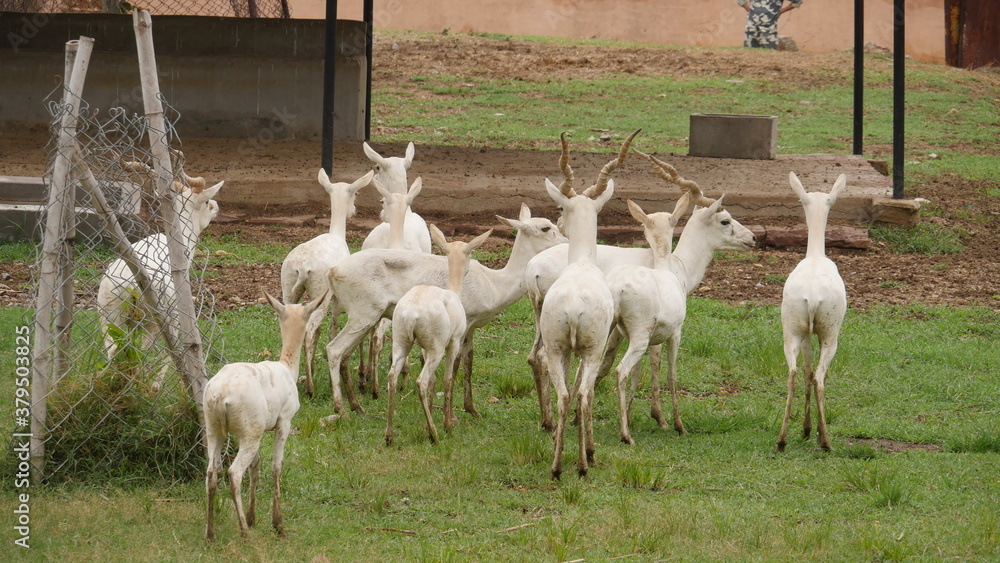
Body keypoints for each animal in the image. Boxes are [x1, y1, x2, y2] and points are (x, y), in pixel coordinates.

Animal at [203, 291, 327, 541]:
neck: (287, 368)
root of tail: (221, 394)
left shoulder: (260, 429)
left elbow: (256, 467)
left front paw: (253, 518)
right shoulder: (284, 422)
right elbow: (276, 466)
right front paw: (278, 524)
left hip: (215, 429)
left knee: (212, 473)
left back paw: (211, 534)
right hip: (249, 434)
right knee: (233, 473)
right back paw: (243, 533)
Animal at [280, 169, 373, 397]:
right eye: (356, 193)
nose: (354, 211)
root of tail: (302, 267)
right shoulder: (336, 295)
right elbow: (331, 327)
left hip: (288, 289)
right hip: (320, 291)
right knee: (310, 330)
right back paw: (311, 388)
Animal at [385, 225, 492, 445]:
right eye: (471, 252)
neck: (454, 292)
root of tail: (412, 314)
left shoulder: (423, 348)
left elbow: (435, 382)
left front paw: (429, 422)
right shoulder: (454, 342)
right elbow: (447, 379)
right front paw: (447, 424)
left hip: (401, 342)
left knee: (392, 377)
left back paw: (389, 435)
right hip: (437, 348)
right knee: (422, 382)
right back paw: (434, 434)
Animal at [777, 172, 848, 453]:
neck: (816, 255)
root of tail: (814, 296)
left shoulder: (806, 332)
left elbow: (804, 372)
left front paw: (806, 430)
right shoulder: (815, 333)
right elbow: (815, 374)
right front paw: (811, 431)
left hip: (792, 328)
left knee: (794, 373)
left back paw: (781, 439)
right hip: (830, 331)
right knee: (818, 377)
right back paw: (825, 440)